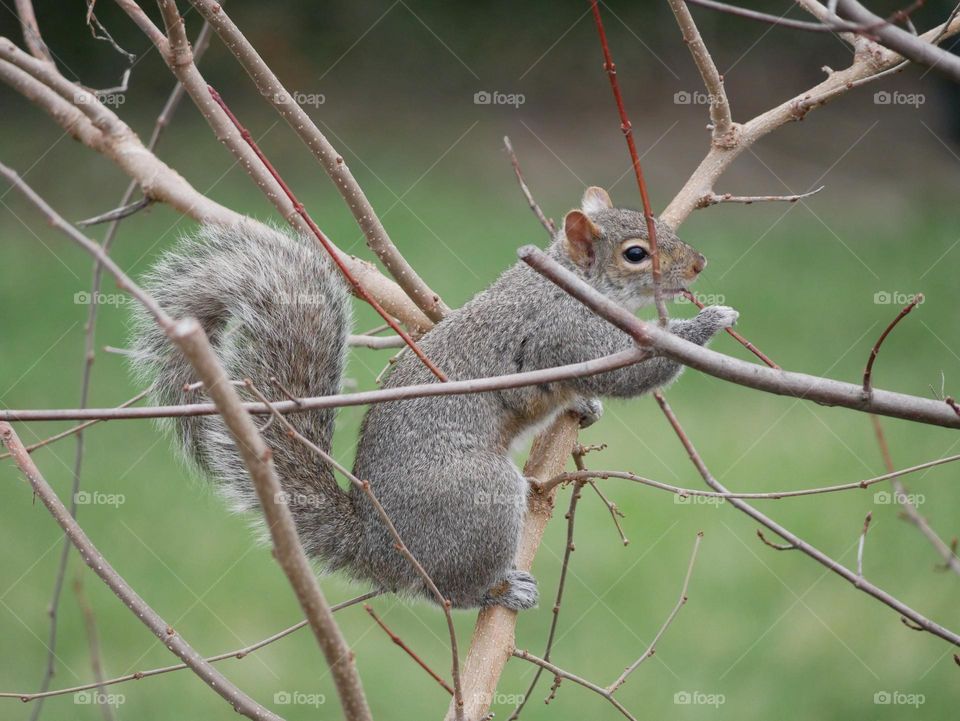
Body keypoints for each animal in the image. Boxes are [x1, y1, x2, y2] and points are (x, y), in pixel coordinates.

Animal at [129, 186, 738, 611]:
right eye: (636, 253)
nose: (700, 264)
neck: (569, 281)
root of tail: (381, 549)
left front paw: (583, 407)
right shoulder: (565, 334)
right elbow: (632, 370)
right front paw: (708, 321)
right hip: (477, 500)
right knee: (449, 592)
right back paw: (498, 592)